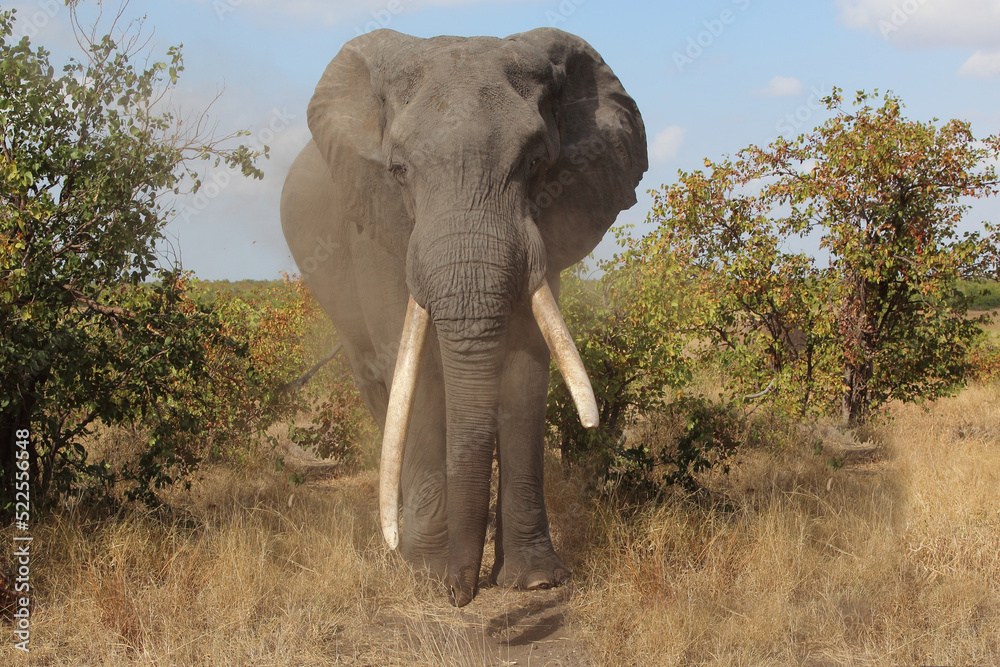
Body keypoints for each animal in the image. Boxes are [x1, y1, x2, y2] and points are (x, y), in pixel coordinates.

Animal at [281, 27, 647, 606]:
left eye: (536, 163)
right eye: (398, 170)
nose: (462, 592)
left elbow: (526, 369)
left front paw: (535, 581)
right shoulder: (378, 226)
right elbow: (417, 371)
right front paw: (425, 574)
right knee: (379, 383)